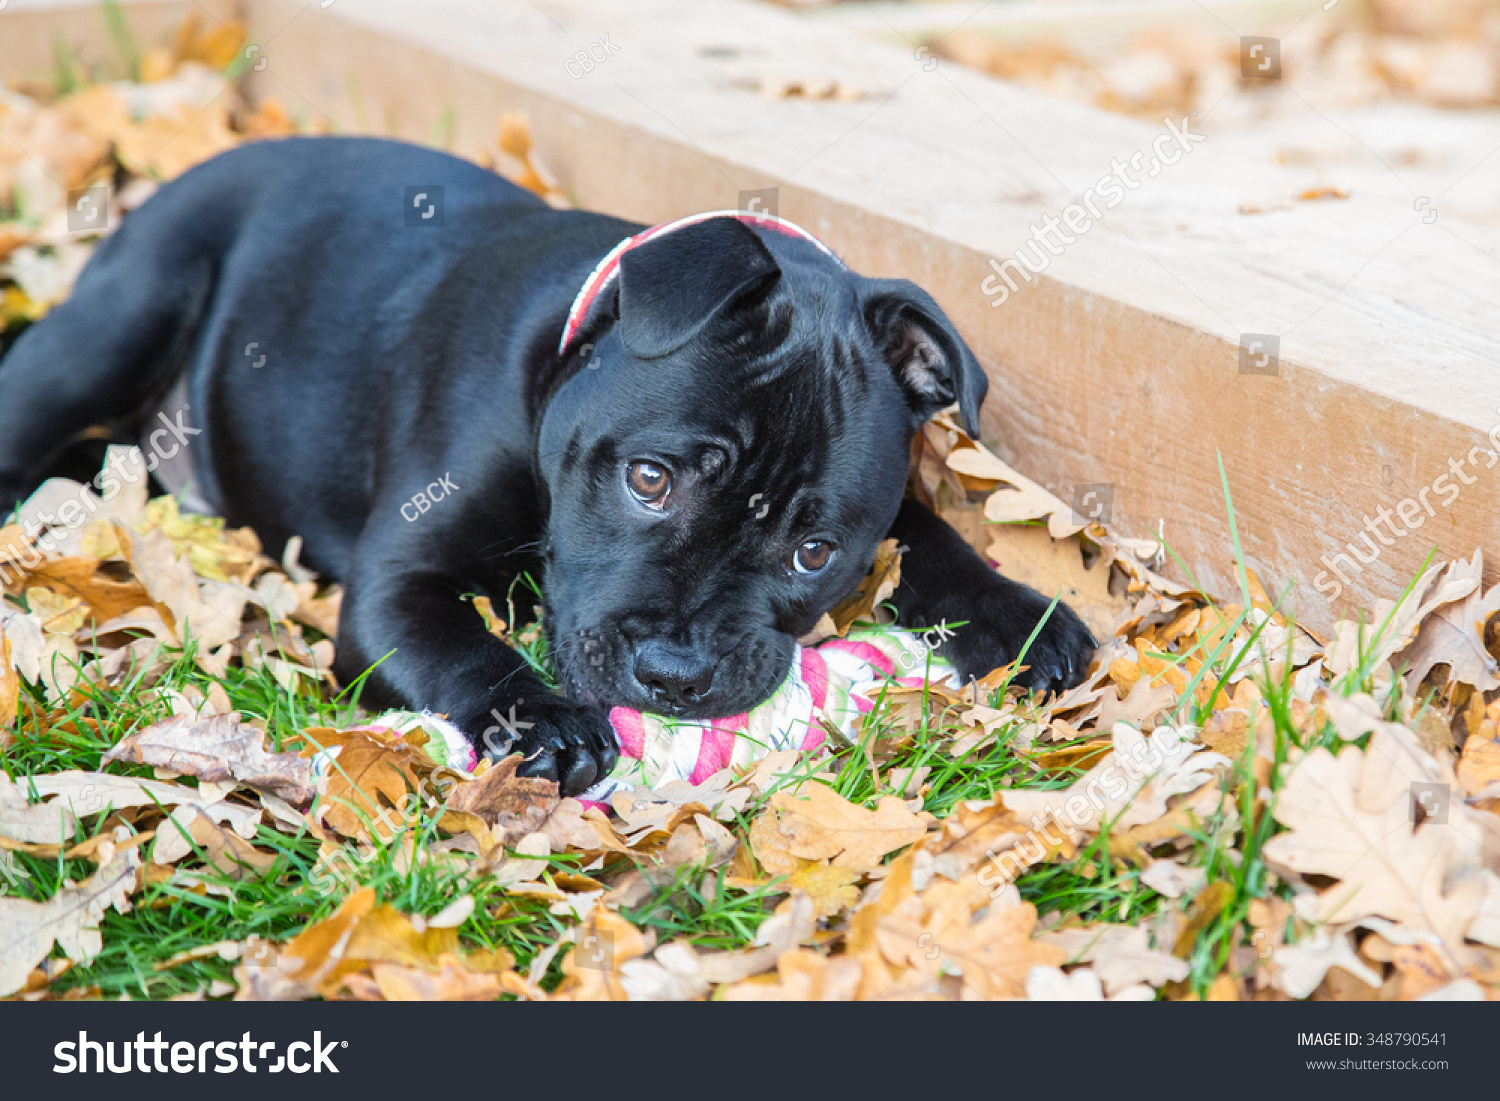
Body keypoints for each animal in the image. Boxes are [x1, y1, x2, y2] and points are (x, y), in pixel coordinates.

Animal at [0, 138, 1092, 798]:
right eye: (649, 480)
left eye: (814, 550)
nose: (675, 673)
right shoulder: (396, 586)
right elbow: (460, 645)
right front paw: (549, 720)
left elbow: (928, 531)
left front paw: (1018, 616)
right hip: (117, 319)